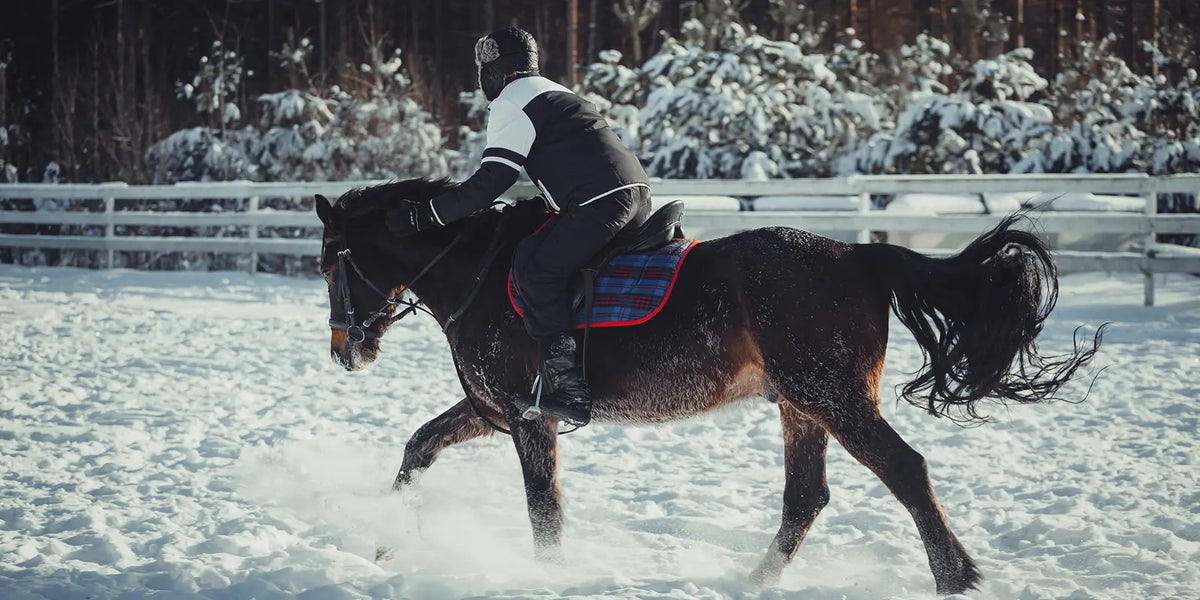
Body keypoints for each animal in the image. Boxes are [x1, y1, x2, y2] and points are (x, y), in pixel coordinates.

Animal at [314, 178, 1102, 595]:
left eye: (329, 264)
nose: (346, 351)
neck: (478, 271)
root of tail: (859, 254)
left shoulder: (527, 416)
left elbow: (544, 510)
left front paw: (548, 575)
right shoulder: (494, 411)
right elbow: (419, 446)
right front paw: (383, 544)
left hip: (834, 398)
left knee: (904, 471)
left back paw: (954, 576)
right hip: (802, 405)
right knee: (806, 498)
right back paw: (752, 583)